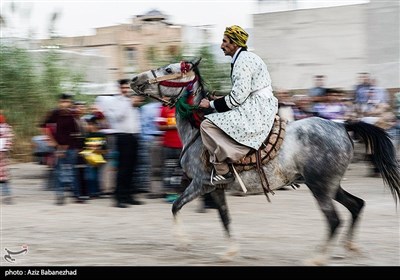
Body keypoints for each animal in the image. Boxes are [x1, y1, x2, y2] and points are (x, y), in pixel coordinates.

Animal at [130, 58, 398, 264]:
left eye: (168, 70)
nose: (134, 79)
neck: (196, 131)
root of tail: (342, 126)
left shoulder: (201, 183)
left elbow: (176, 206)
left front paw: (183, 241)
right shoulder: (216, 188)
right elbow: (225, 218)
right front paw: (230, 252)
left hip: (320, 186)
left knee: (334, 220)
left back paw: (318, 258)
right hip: (330, 185)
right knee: (356, 205)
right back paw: (350, 247)